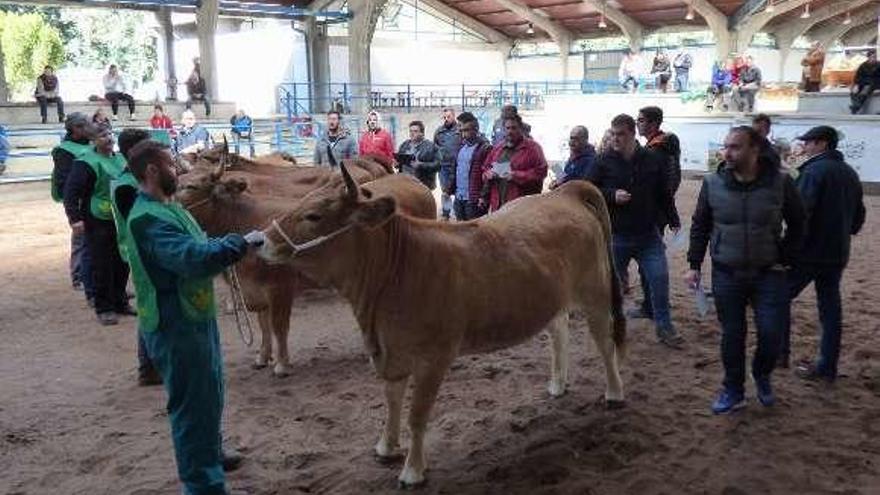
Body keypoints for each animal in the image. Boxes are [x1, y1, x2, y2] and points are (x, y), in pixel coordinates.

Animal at [175, 159, 436, 376]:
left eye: (191, 187)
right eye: (177, 182)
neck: (243, 218)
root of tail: (410, 179)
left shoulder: (280, 288)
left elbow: (279, 326)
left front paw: (281, 364)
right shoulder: (254, 290)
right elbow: (263, 325)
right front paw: (262, 357)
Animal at [260, 164, 624, 488]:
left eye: (313, 216)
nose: (259, 240)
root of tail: (563, 192)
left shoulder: (433, 358)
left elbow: (417, 415)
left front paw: (412, 471)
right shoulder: (391, 352)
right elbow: (392, 401)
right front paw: (386, 447)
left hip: (595, 291)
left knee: (605, 343)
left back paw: (614, 393)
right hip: (553, 298)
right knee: (559, 331)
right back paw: (557, 384)